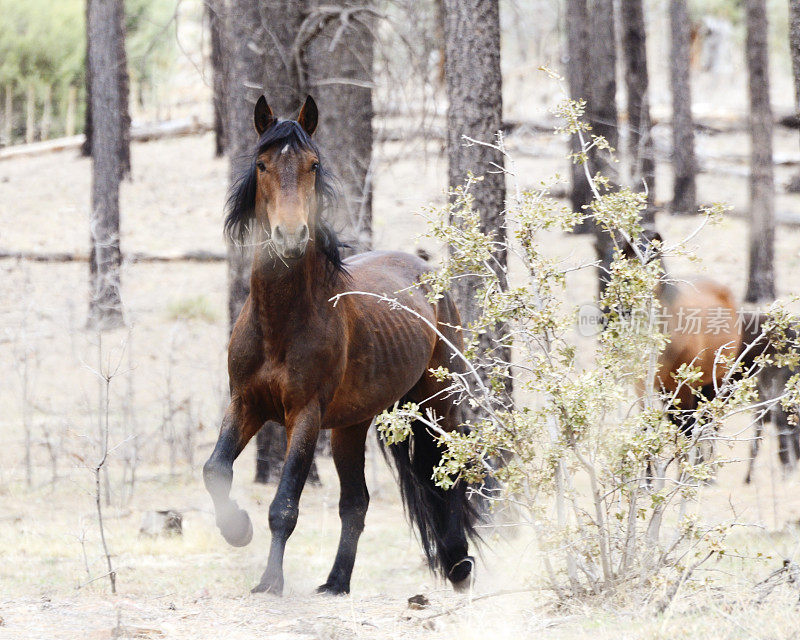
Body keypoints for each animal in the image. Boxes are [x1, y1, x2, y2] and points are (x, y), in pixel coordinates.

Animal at [203, 95, 476, 596]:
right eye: (262, 164)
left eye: (313, 165)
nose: (290, 237)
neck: (280, 324)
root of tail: (427, 271)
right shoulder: (245, 403)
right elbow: (215, 471)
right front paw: (238, 530)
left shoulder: (305, 415)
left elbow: (284, 506)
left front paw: (270, 583)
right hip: (352, 425)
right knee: (356, 502)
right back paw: (336, 582)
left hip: (436, 404)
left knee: (445, 478)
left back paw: (459, 568)